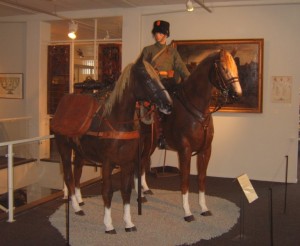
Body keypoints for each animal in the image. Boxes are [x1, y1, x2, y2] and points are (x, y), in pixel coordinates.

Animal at [51, 56, 171, 234]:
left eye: (159, 77)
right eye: (147, 78)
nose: (168, 105)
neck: (117, 123)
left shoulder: (127, 163)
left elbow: (126, 190)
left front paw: (128, 223)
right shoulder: (107, 163)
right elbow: (107, 191)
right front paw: (108, 224)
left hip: (79, 152)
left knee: (77, 173)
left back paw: (79, 200)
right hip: (64, 149)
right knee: (68, 177)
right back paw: (76, 207)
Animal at [138, 49, 241, 222]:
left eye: (235, 67)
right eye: (224, 68)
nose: (238, 94)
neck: (197, 109)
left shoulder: (205, 150)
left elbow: (201, 179)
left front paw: (204, 208)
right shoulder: (185, 151)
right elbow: (185, 180)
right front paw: (187, 212)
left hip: (151, 144)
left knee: (144, 162)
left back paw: (145, 190)